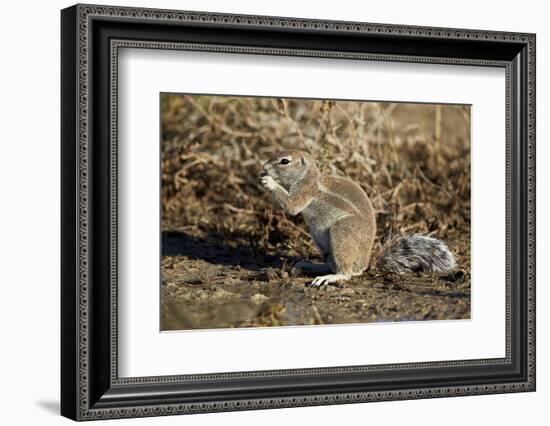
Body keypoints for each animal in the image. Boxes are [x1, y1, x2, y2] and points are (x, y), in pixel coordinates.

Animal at [260, 150, 460, 286]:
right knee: (331, 264)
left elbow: (292, 206)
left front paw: (269, 181)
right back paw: (309, 266)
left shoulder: (305, 191)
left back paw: (329, 277)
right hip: (324, 245)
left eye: (284, 161)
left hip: (341, 233)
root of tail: (367, 263)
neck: (307, 176)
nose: (263, 168)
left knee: (347, 272)